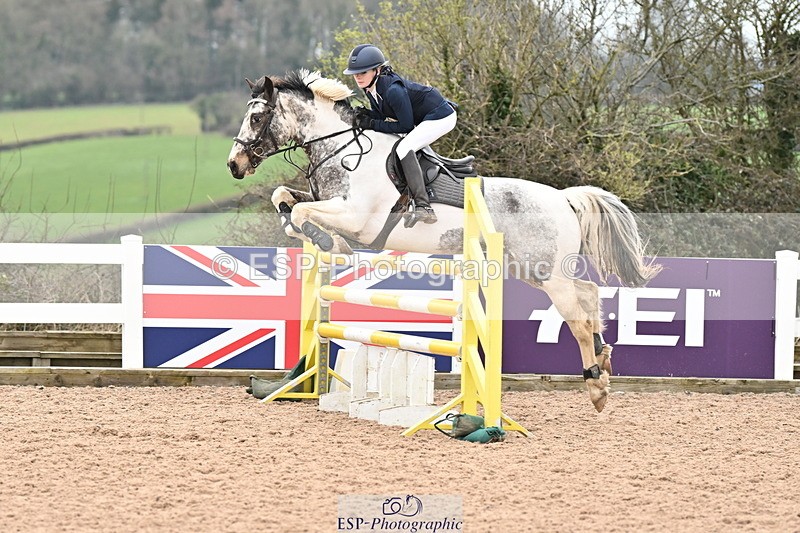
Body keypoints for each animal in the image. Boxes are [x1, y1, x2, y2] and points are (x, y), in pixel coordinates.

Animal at [227, 69, 661, 413]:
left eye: (258, 116)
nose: (234, 165)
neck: (342, 150)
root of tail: (564, 198)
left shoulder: (358, 218)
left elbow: (303, 213)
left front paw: (330, 242)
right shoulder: (327, 202)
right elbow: (284, 199)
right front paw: (317, 238)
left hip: (547, 273)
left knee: (578, 319)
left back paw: (596, 385)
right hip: (533, 269)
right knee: (589, 295)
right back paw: (603, 365)